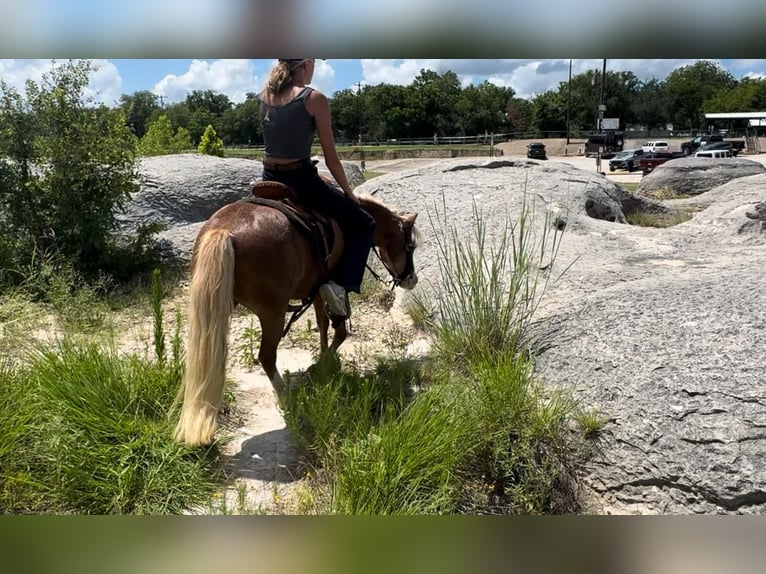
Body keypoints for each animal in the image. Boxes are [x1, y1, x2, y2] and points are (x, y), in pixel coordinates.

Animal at [174, 187, 420, 448]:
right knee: (266, 357)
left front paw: (323, 359)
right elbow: (340, 328)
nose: (411, 279)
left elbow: (322, 323)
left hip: (218, 306)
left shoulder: (317, 288)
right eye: (410, 246)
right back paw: (285, 397)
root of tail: (223, 230)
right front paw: (325, 361)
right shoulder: (331, 283)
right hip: (272, 312)